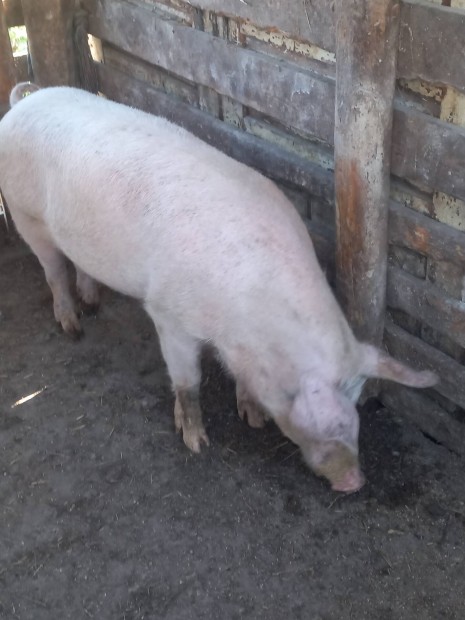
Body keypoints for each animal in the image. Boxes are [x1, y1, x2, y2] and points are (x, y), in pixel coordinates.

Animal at [0, 83, 437, 492]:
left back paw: (92, 303)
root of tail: (24, 101)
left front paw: (254, 419)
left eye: (356, 404)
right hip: (24, 215)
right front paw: (196, 442)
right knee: (54, 271)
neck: (244, 321)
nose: (355, 481)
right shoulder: (168, 315)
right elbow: (187, 381)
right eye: (315, 405)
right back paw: (73, 327)